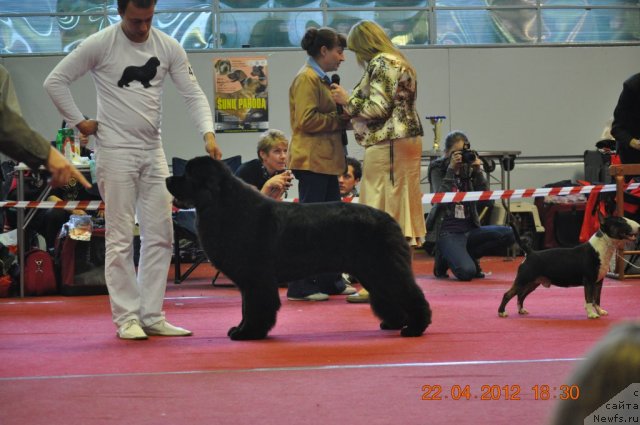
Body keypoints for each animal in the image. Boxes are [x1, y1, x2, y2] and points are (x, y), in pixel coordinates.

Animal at [168, 157, 432, 340]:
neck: (223, 204)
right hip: (373, 270)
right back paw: (394, 323)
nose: (168, 179)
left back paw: (414, 328)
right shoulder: (251, 280)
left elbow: (255, 307)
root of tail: (391, 220)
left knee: (410, 293)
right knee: (388, 295)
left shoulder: (256, 278)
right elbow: (246, 307)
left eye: (188, 174)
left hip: (384, 267)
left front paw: (248, 333)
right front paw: (241, 329)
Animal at [500, 215, 640, 318]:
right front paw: (592, 314)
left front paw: (600, 311)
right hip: (523, 279)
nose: (639, 226)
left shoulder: (599, 281)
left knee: (521, 295)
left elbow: (597, 298)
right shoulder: (589, 281)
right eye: (620, 221)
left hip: (533, 282)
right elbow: (589, 298)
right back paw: (502, 312)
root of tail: (530, 253)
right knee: (508, 294)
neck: (601, 248)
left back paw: (521, 310)